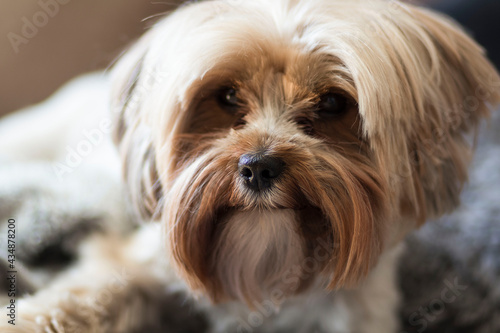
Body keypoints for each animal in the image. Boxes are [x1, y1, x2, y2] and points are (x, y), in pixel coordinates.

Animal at [0, 0, 500, 332]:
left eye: (333, 103)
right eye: (226, 96)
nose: (259, 167)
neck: (264, 263)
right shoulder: (137, 264)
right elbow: (84, 298)